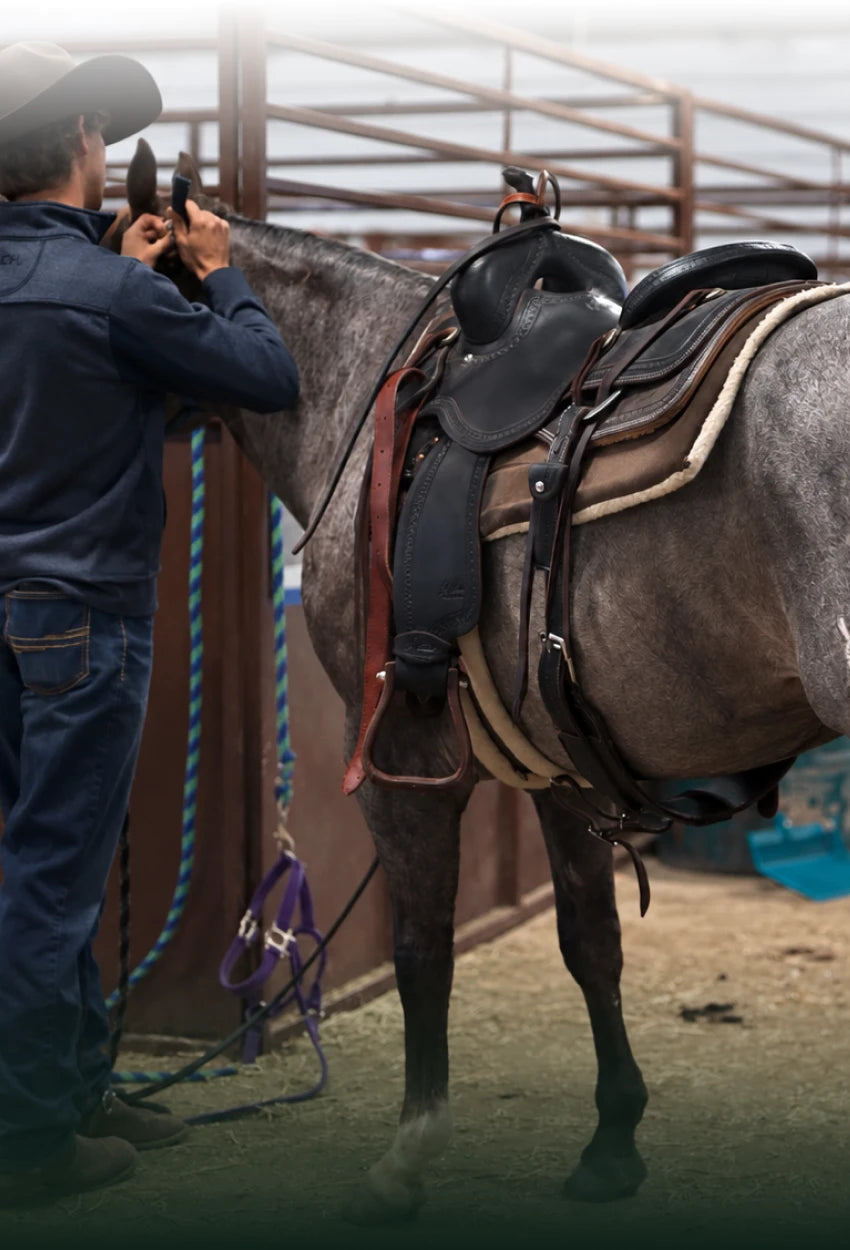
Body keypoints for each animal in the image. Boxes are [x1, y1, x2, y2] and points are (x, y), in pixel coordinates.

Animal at [123, 145, 850, 1222]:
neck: (364, 387)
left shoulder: (399, 764)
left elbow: (423, 947)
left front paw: (408, 1155)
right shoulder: (566, 768)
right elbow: (590, 942)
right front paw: (611, 1142)